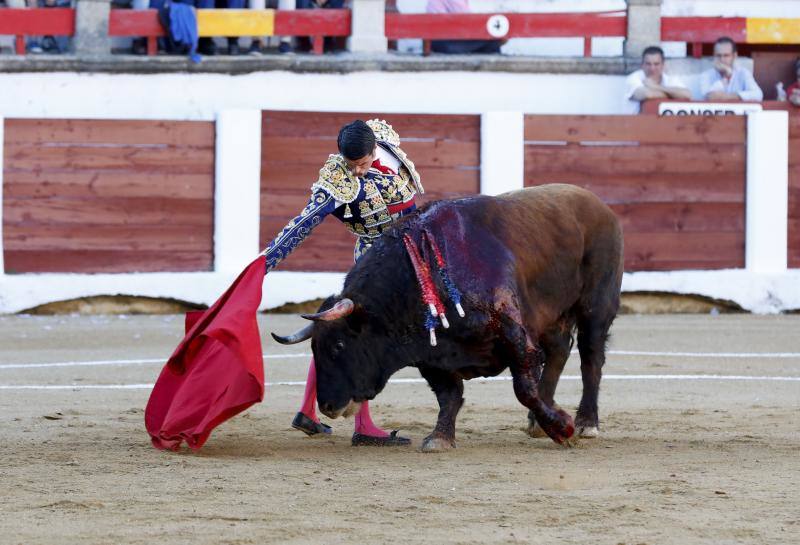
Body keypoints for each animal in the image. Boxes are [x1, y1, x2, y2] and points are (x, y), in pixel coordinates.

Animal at [276, 184, 624, 450]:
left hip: (596, 305)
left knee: (590, 359)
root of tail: (599, 206)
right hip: (551, 315)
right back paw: (538, 422)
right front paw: (440, 437)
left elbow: (524, 388)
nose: (327, 406)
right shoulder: (431, 356)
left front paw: (563, 429)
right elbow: (449, 396)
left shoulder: (513, 332)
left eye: (338, 346)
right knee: (560, 351)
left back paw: (585, 422)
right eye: (314, 348)